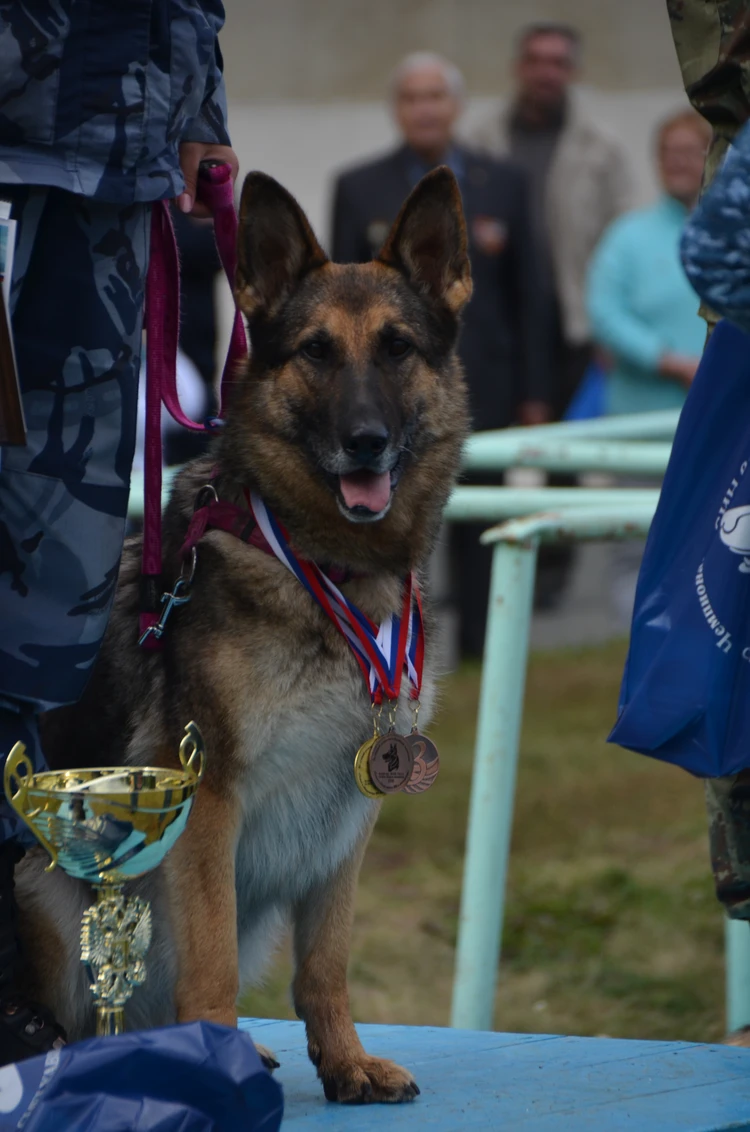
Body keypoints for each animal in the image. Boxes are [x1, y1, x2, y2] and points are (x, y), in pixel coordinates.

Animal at [17, 164, 472, 1100]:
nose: (365, 442)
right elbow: (214, 963)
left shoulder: (349, 814)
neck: (324, 568)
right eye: (316, 352)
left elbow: (325, 964)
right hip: (42, 883)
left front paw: (344, 1062)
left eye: (398, 348)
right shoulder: (208, 802)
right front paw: (218, 1066)